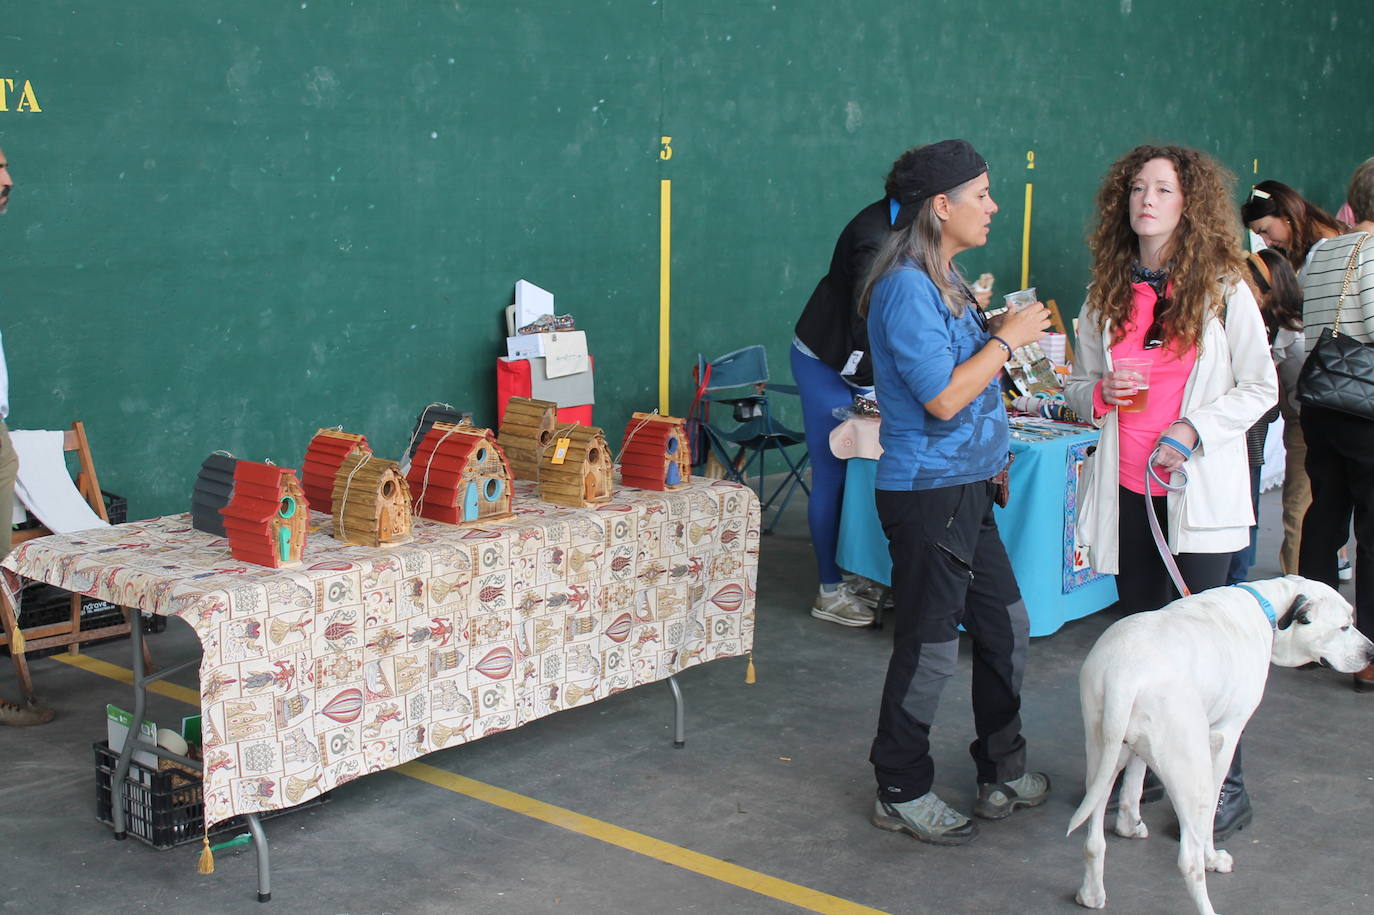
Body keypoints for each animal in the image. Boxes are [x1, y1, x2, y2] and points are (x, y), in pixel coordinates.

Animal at [1071, 577, 1374, 912]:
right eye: (1345, 626)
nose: (1371, 653)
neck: (1266, 606)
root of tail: (1125, 676)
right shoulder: (1225, 736)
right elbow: (1207, 821)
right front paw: (1212, 857)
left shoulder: (1137, 747)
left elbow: (1133, 785)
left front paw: (1128, 825)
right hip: (1191, 772)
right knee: (1188, 859)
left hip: (1102, 755)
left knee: (1093, 840)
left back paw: (1091, 893)